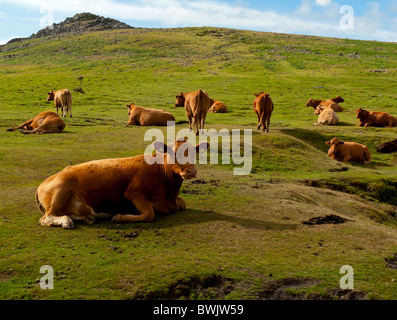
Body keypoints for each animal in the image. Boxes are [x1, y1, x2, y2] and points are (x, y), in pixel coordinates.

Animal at [36, 137, 210, 228]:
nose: (190, 171)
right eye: (173, 153)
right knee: (47, 218)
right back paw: (66, 221)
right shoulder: (134, 192)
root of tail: (42, 183)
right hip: (60, 190)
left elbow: (183, 203)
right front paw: (119, 217)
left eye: (194, 152)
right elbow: (149, 214)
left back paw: (87, 218)